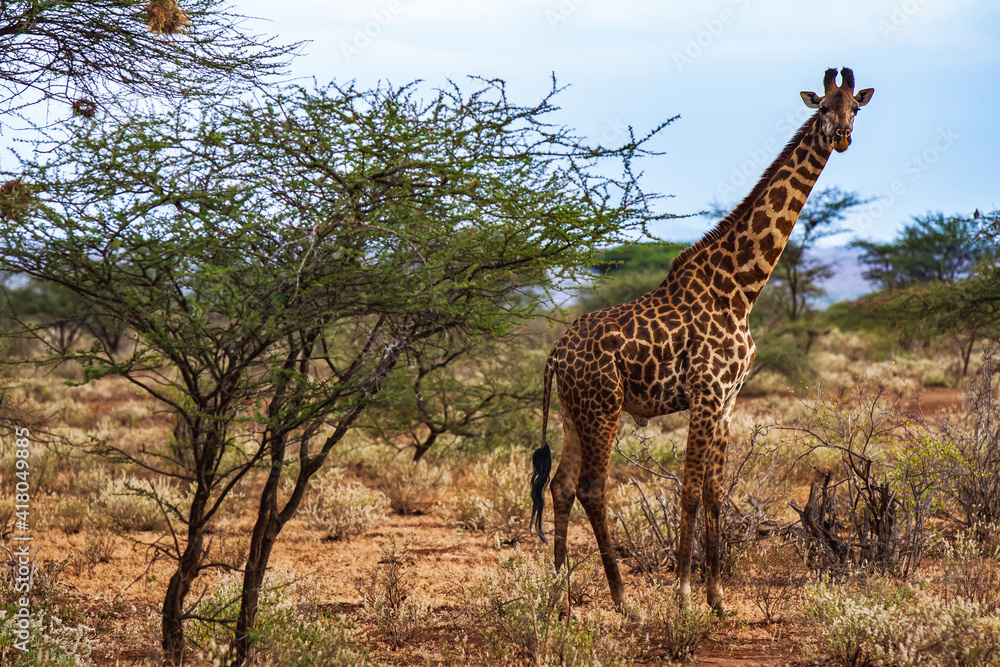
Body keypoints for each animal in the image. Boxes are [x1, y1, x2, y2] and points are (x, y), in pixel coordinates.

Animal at [530, 68, 874, 613]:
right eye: (822, 108)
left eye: (855, 109)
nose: (840, 136)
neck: (741, 287)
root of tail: (555, 355)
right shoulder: (706, 391)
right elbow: (690, 488)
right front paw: (684, 593)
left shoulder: (729, 398)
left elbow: (715, 490)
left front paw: (717, 596)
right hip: (603, 406)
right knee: (591, 488)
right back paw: (623, 600)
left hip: (572, 410)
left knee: (561, 487)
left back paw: (561, 597)